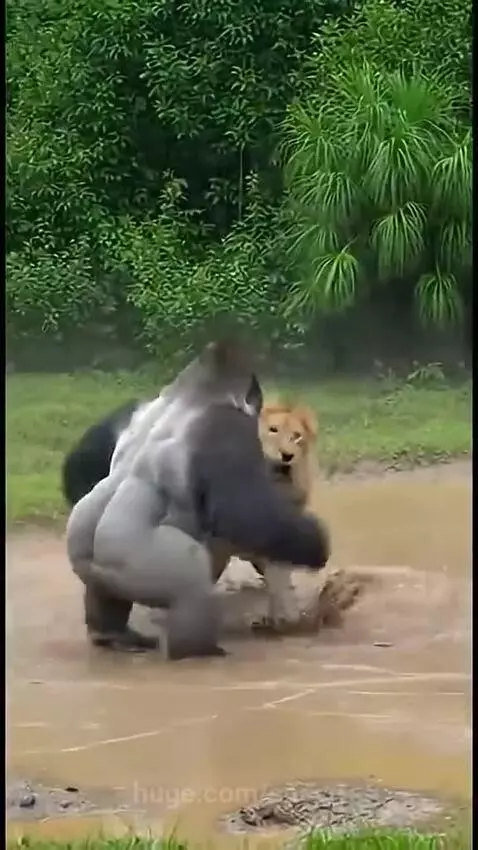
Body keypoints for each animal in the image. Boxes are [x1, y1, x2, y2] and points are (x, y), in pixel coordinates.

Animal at [64, 341, 331, 660]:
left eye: (297, 437)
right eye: (273, 430)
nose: (287, 456)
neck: (197, 391)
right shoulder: (229, 428)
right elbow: (244, 513)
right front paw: (315, 545)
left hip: (87, 556)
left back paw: (110, 632)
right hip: (144, 560)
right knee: (193, 584)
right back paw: (197, 648)